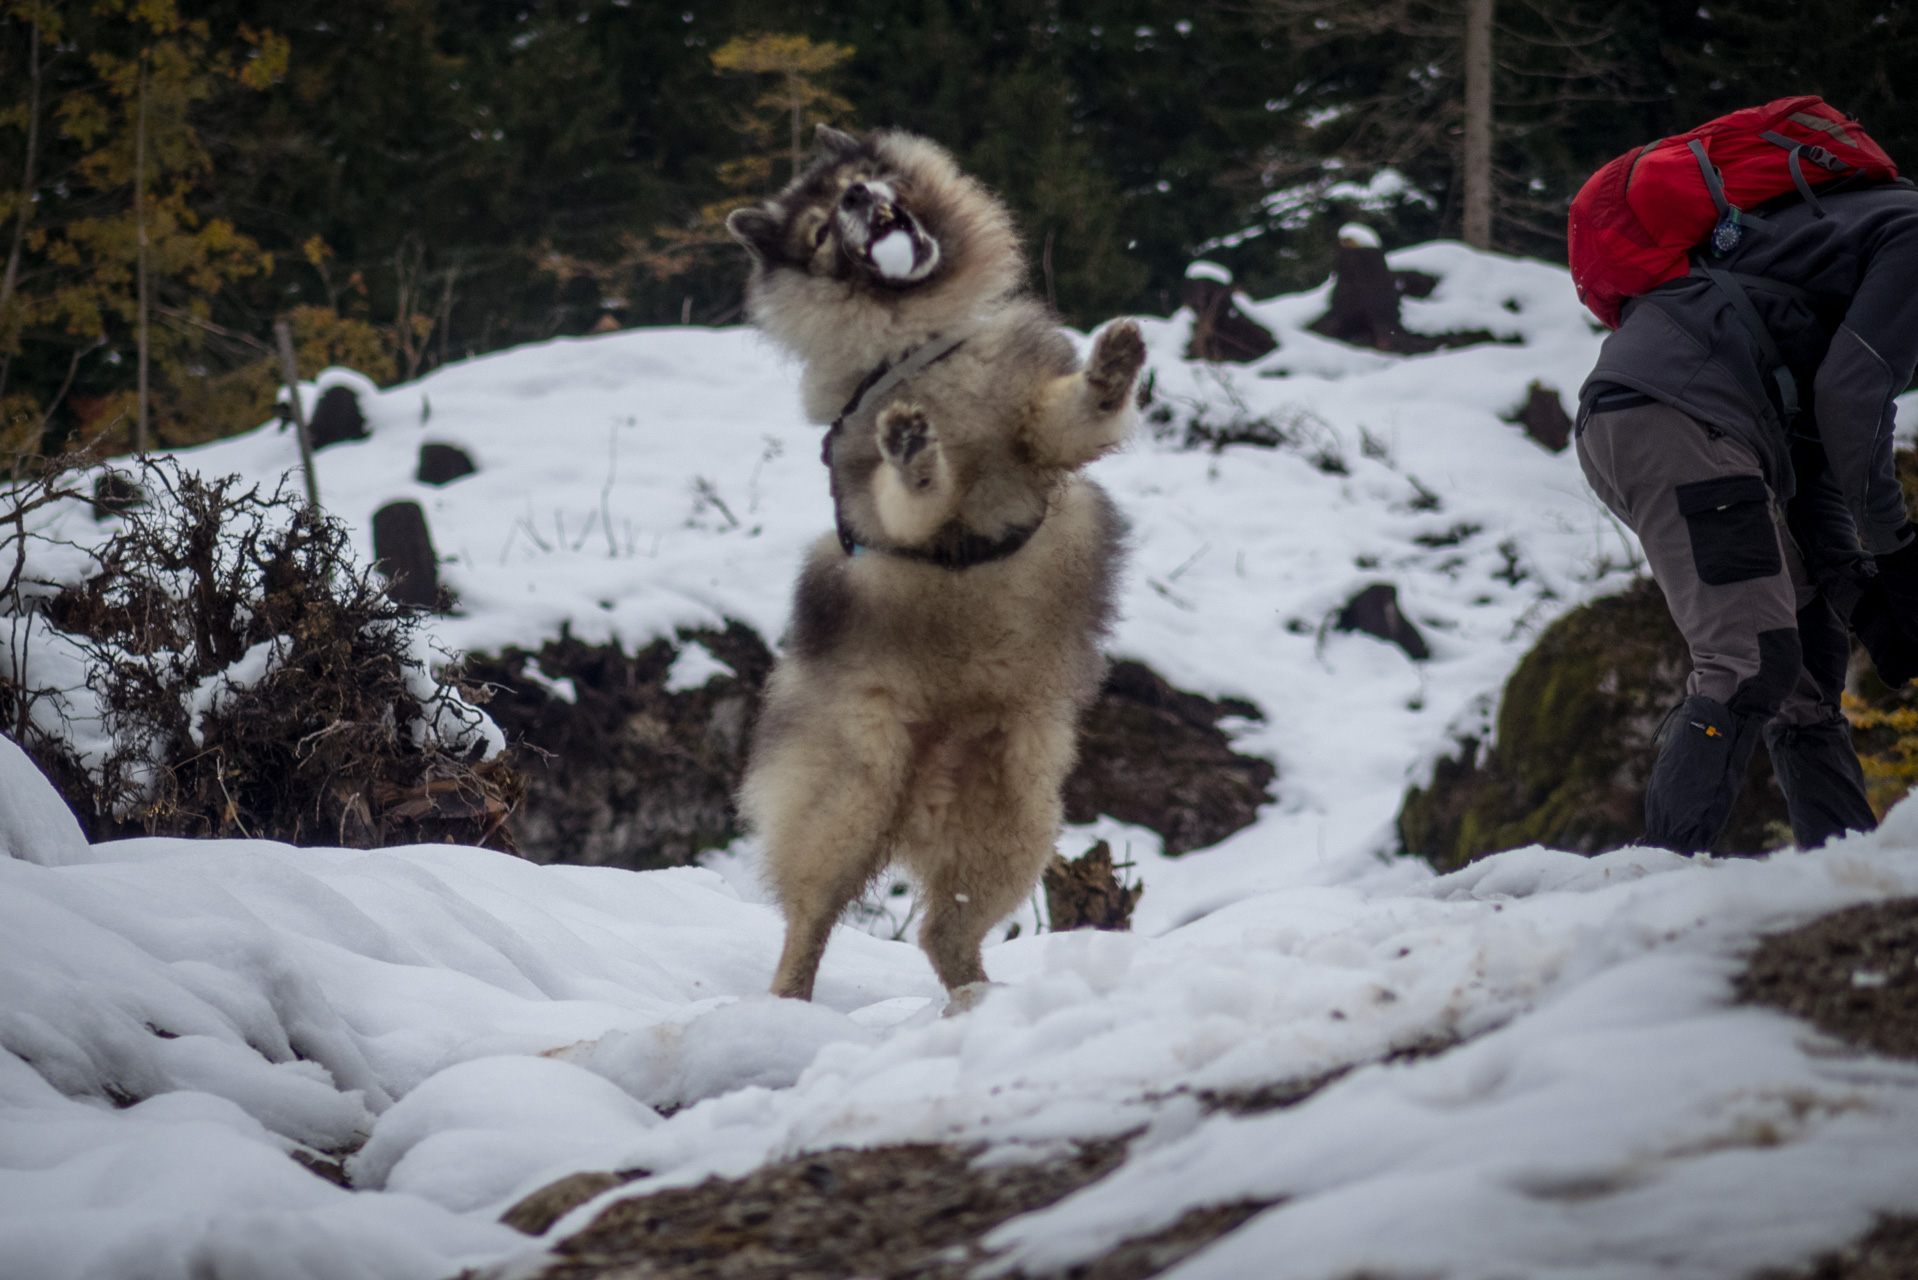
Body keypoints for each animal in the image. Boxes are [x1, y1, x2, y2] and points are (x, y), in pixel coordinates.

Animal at [721, 127, 1135, 1013]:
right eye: (818, 232)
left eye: (862, 179)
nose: (856, 200)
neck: (917, 342)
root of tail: (926, 778)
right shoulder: (886, 500)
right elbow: (912, 494)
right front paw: (915, 452)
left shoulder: (1037, 435)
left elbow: (1074, 414)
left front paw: (1114, 367)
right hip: (851, 794)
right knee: (810, 914)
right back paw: (789, 1004)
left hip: (1014, 814)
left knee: (945, 930)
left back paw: (979, 998)